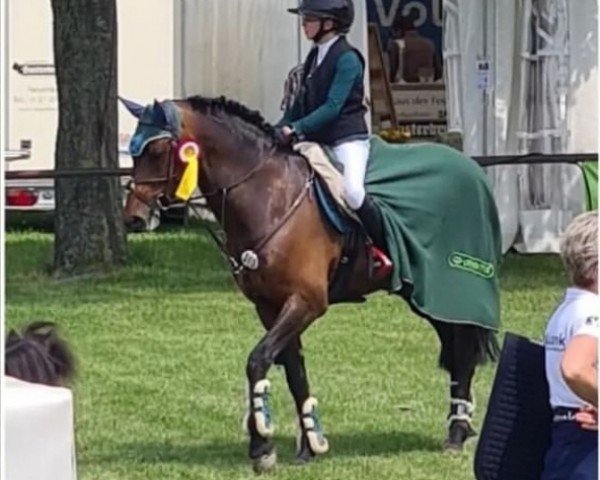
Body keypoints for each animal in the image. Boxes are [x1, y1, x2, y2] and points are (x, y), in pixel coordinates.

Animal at [119, 95, 500, 470]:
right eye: (134, 151)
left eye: (157, 151)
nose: (134, 218)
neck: (269, 196)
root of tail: (469, 168)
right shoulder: (269, 306)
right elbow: (293, 370)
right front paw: (308, 444)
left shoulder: (306, 302)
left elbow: (258, 359)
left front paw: (262, 447)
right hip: (426, 295)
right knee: (456, 349)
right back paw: (459, 428)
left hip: (445, 290)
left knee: (462, 353)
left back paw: (456, 435)